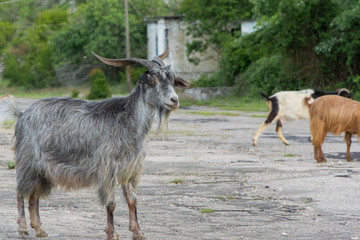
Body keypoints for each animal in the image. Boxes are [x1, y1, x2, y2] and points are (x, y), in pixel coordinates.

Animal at [3, 49, 191, 240]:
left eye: (172, 79)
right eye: (153, 79)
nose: (174, 100)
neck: (127, 122)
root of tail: (22, 114)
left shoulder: (130, 170)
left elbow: (132, 201)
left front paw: (138, 233)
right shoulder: (107, 168)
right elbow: (111, 203)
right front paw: (112, 234)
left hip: (43, 171)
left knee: (34, 196)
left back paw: (40, 229)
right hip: (27, 162)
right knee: (20, 192)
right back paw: (23, 229)